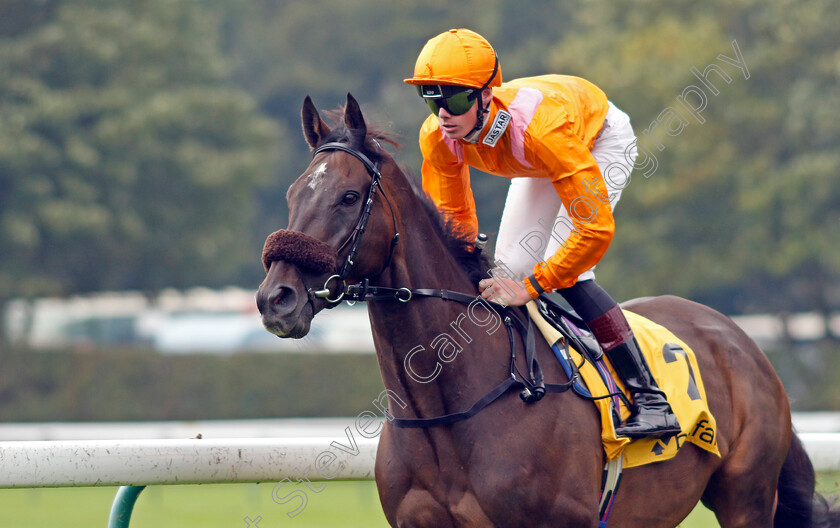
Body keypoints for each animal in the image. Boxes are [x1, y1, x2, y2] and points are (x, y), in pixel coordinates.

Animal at [256, 95, 840, 528]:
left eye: (349, 196)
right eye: (291, 194)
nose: (275, 298)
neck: (448, 410)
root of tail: (739, 340)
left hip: (746, 496)